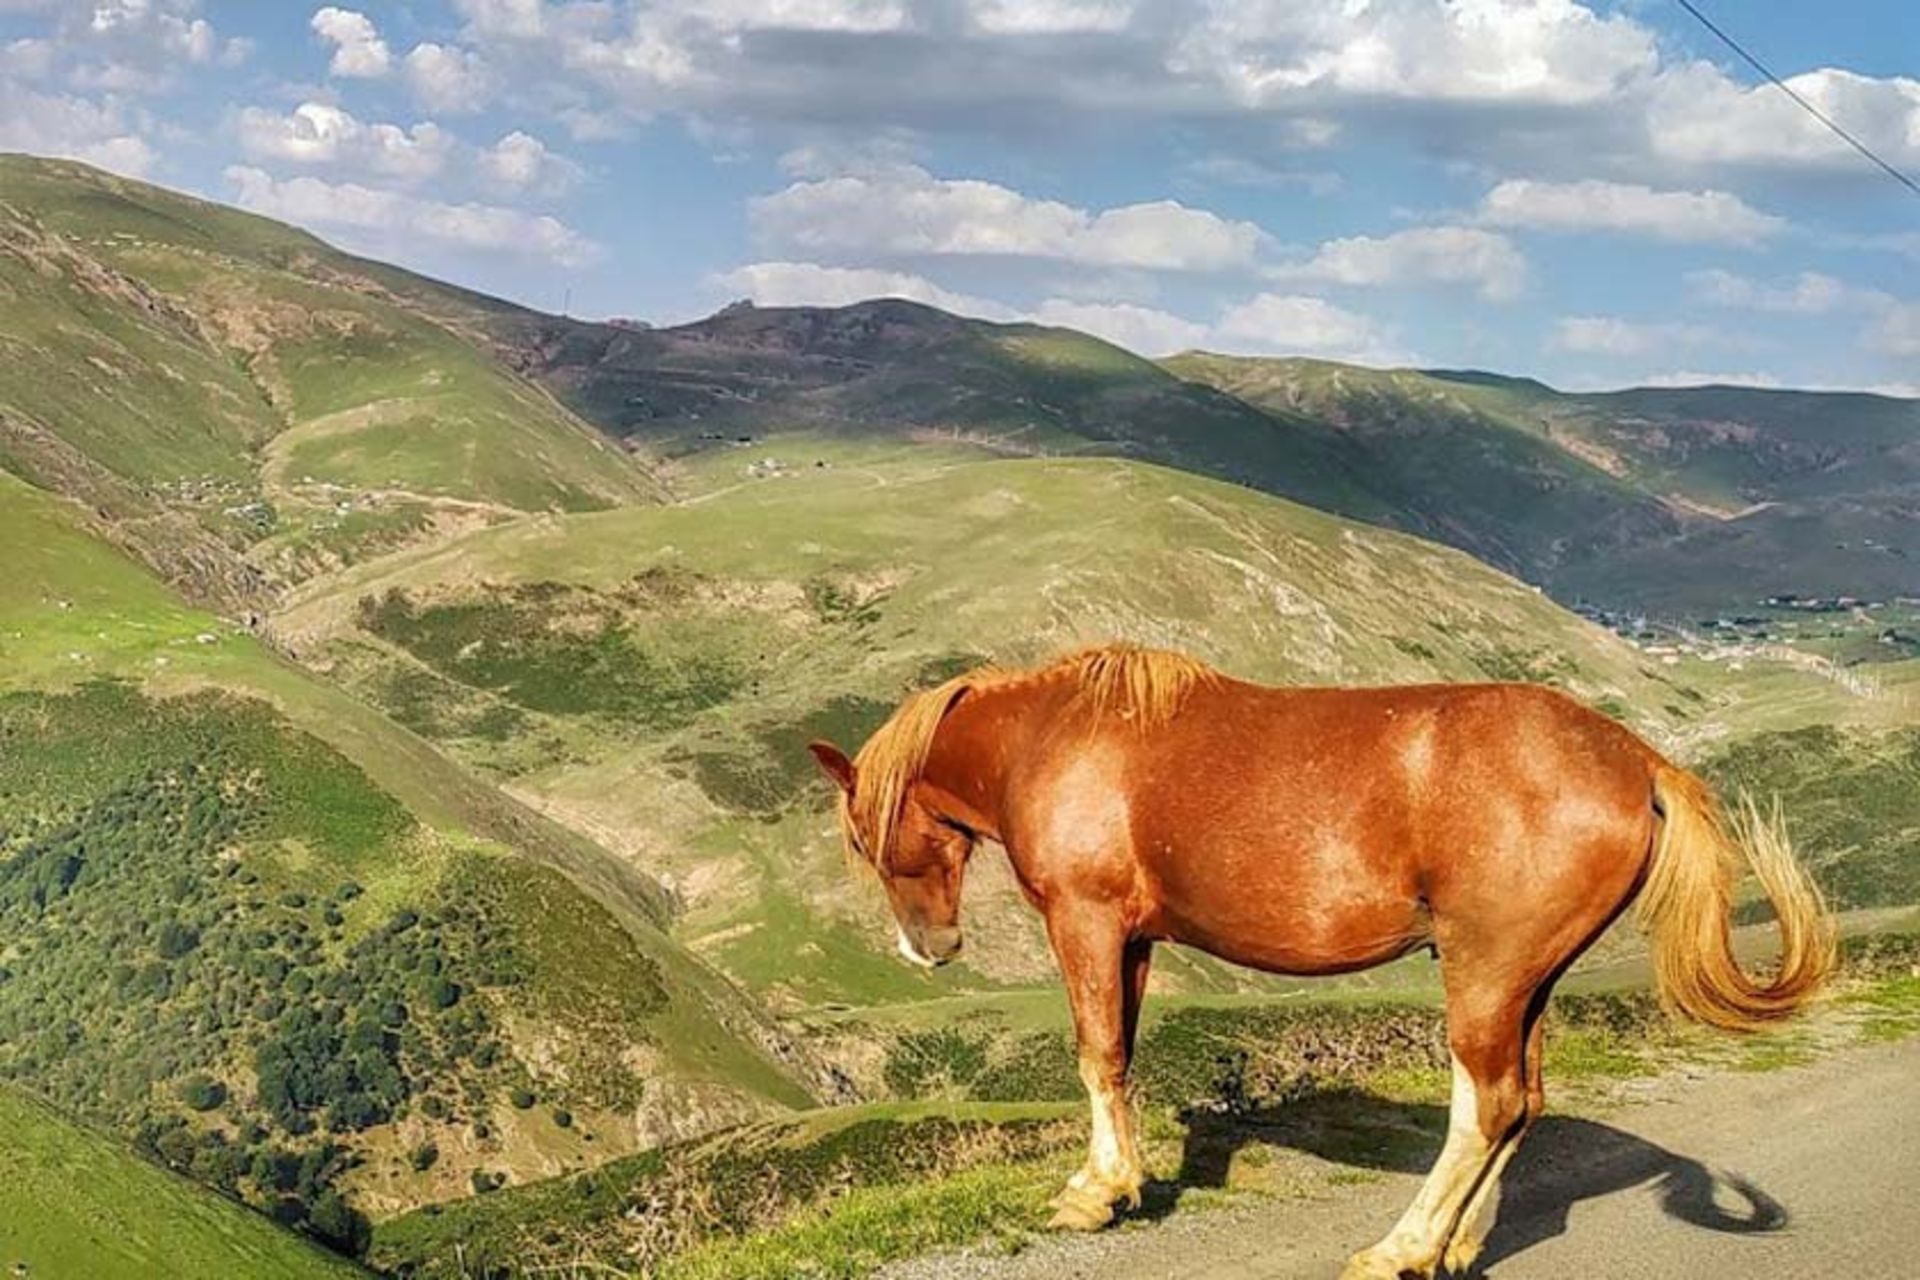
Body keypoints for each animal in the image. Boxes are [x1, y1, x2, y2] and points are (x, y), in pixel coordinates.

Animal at [806, 652, 1827, 1280]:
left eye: (864, 833)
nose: (928, 947)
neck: (1058, 737)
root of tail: (1636, 761)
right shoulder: (1133, 940)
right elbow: (1122, 1056)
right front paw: (1124, 1179)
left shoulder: (1085, 925)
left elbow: (1096, 1055)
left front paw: (1096, 1194)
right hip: (1528, 982)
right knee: (1520, 1103)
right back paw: (1456, 1243)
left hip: (1486, 974)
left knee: (1487, 1104)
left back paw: (1403, 1247)